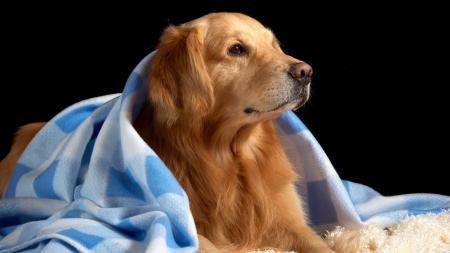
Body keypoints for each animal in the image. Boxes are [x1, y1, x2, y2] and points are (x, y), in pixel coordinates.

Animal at [0, 13, 338, 253]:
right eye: (236, 49)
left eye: (274, 46)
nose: (306, 72)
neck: (225, 158)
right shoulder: (173, 223)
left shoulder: (289, 222)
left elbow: (321, 244)